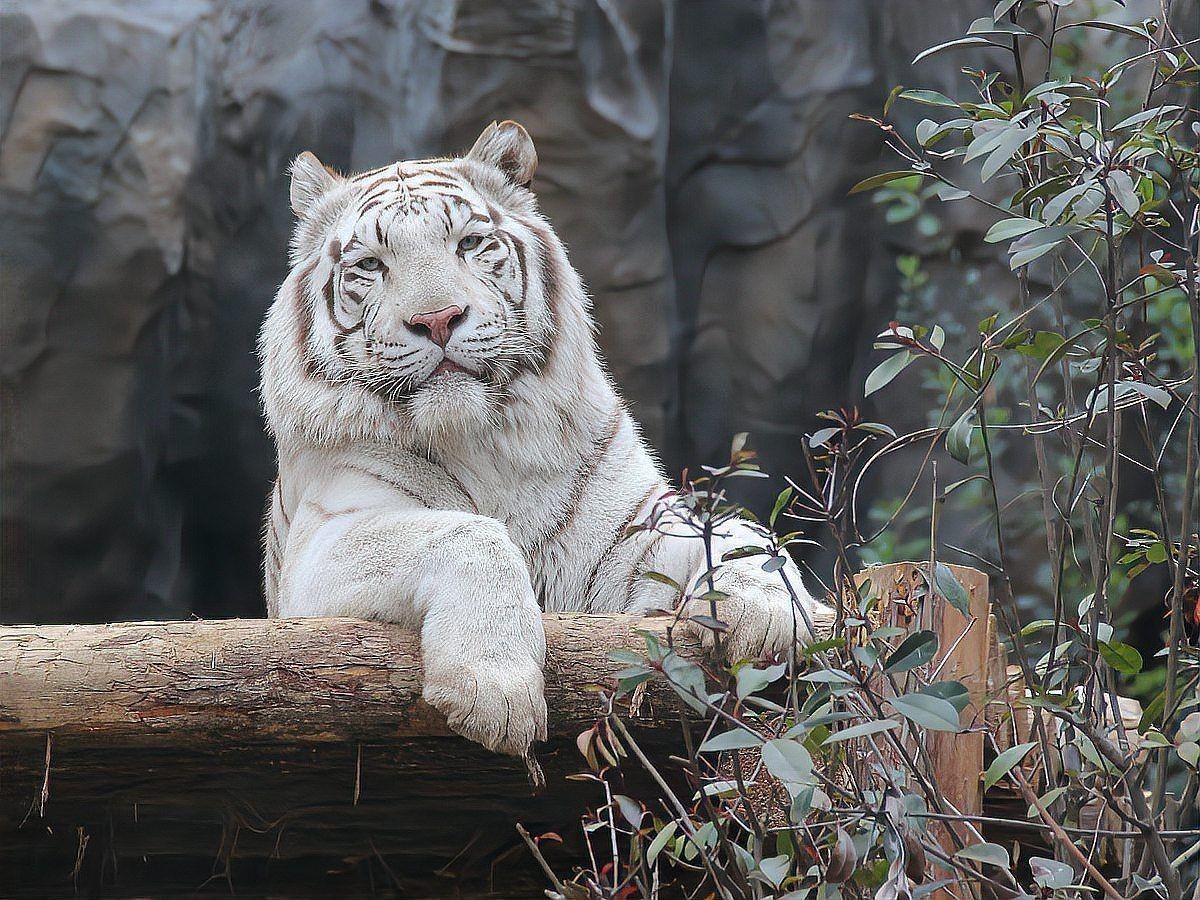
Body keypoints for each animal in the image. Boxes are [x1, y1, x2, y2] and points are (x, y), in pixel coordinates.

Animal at [259, 121, 834, 756]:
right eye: (371, 264)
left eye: (467, 243)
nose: (437, 319)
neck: (482, 441)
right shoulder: (323, 546)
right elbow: (470, 534)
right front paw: (493, 689)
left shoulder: (631, 535)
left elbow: (741, 530)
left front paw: (768, 610)